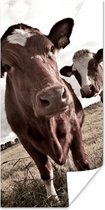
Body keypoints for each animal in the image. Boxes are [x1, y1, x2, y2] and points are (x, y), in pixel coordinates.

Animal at [0, 18, 89, 203]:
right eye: (6, 66)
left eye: (51, 49)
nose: (54, 96)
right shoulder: (25, 141)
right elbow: (46, 172)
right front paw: (53, 199)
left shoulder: (74, 127)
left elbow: (82, 163)